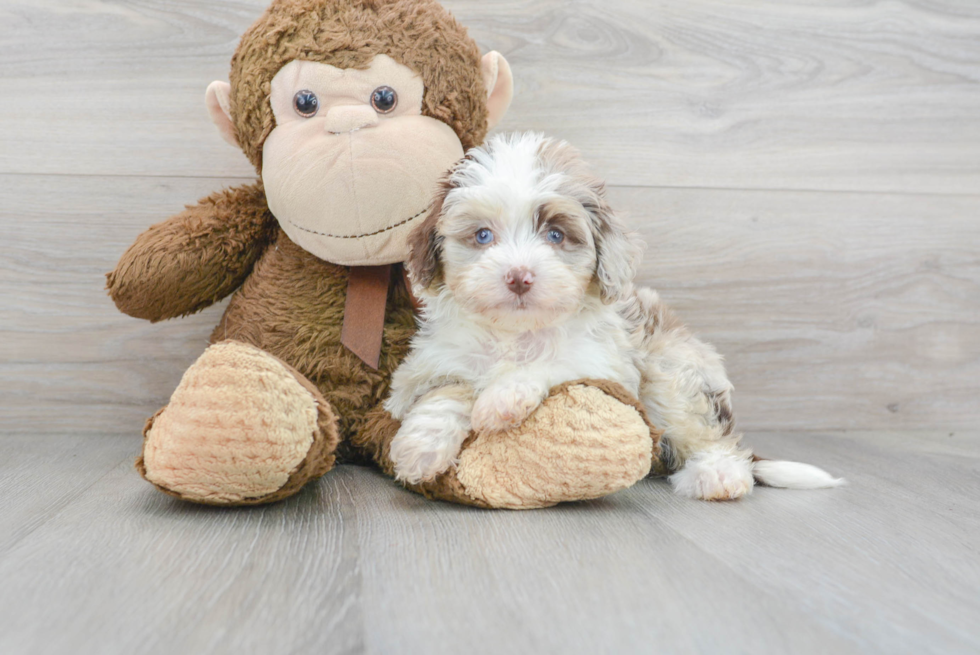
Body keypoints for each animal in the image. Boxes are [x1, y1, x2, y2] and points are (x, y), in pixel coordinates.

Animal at [384, 133, 844, 502]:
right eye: (482, 235)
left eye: (555, 234)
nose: (519, 277)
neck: (517, 334)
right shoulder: (430, 366)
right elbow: (450, 390)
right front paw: (421, 448)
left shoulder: (606, 361)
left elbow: (554, 362)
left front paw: (502, 397)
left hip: (672, 369)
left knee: (710, 434)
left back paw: (718, 473)